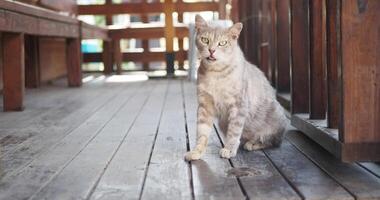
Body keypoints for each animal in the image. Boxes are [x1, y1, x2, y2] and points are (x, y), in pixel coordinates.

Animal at [185, 14, 288, 161]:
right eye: (205, 40)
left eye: (222, 43)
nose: (211, 50)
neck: (216, 74)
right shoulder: (205, 105)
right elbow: (202, 131)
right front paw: (197, 151)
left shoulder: (239, 105)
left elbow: (234, 131)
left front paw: (229, 149)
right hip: (222, 123)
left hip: (275, 118)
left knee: (273, 141)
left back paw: (253, 143)